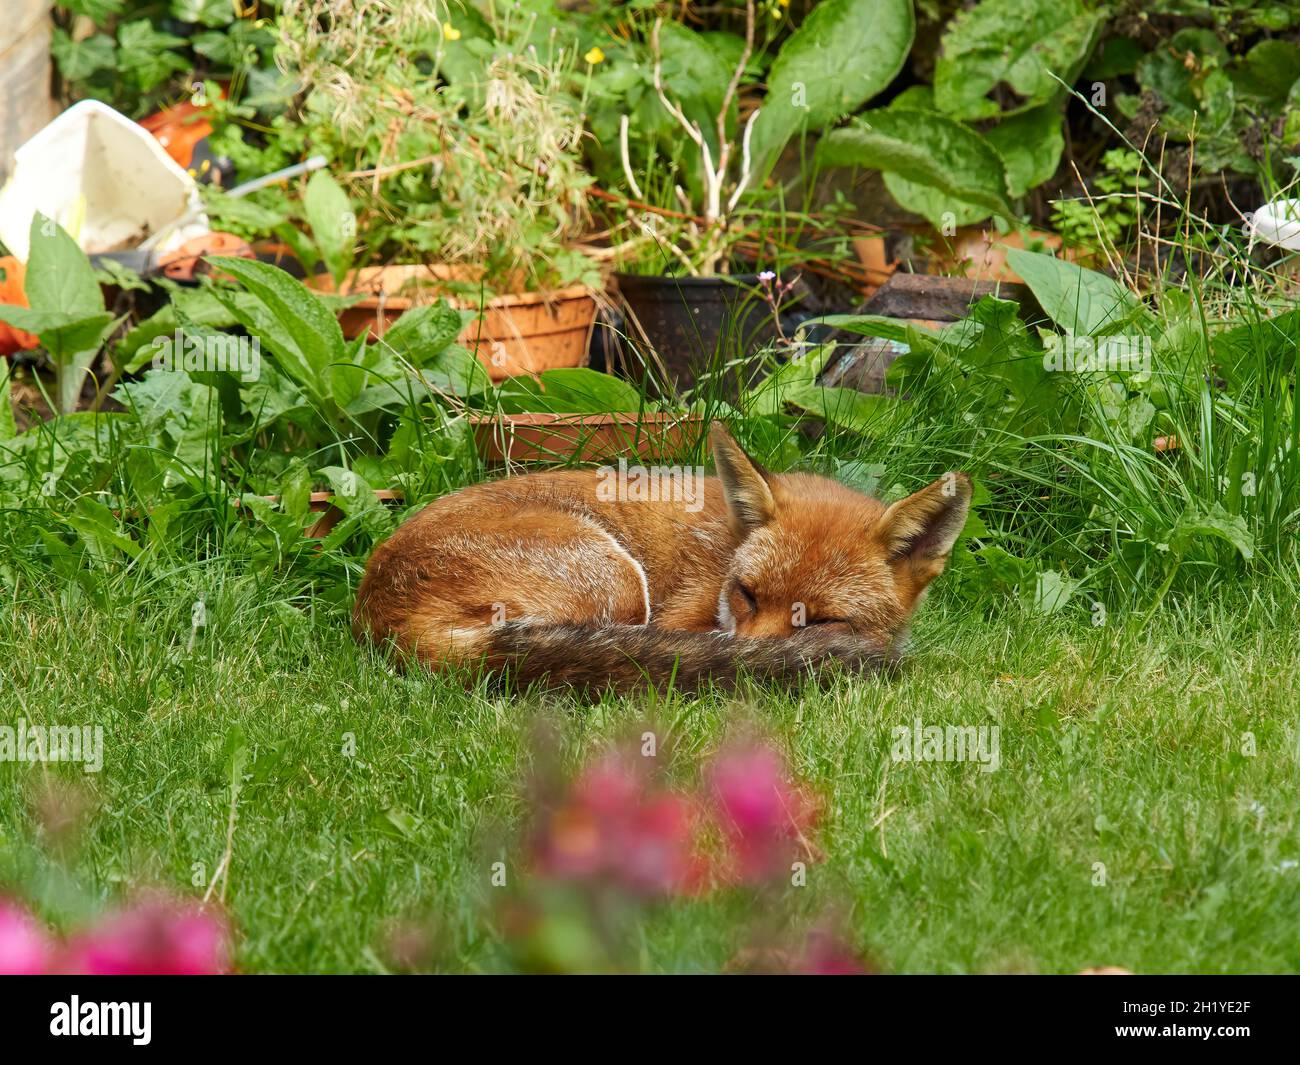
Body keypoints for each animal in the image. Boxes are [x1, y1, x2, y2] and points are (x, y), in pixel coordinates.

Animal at [351, 423, 972, 691]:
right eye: (746, 594)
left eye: (819, 620)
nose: (756, 661)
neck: (723, 553)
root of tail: (378, 616)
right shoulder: (684, 614)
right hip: (619, 582)